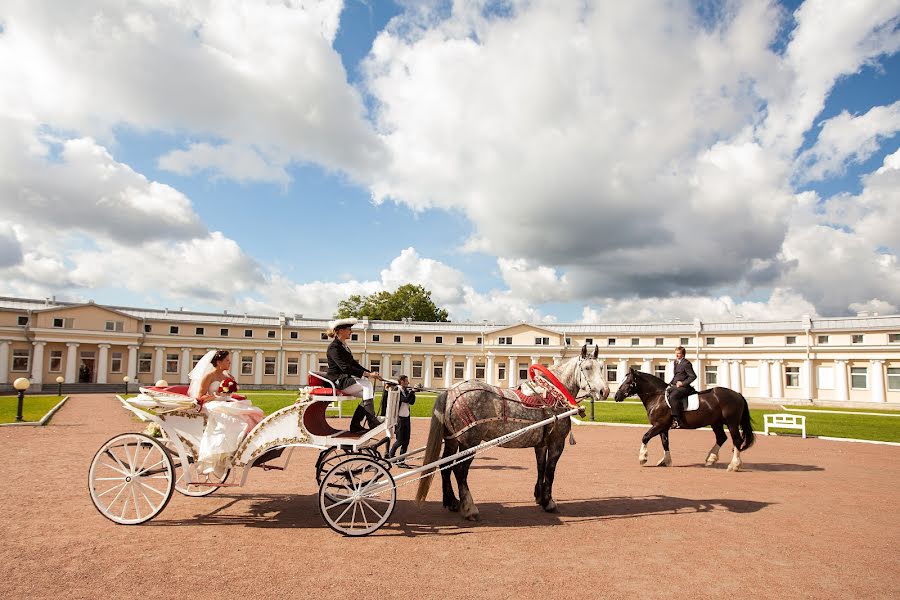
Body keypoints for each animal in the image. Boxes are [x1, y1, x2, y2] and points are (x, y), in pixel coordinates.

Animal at [616, 368, 756, 472]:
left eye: (628, 382)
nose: (616, 396)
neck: (657, 398)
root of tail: (737, 394)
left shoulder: (659, 425)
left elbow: (645, 437)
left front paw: (643, 458)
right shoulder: (663, 427)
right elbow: (665, 443)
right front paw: (665, 461)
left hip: (732, 423)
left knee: (736, 440)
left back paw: (734, 465)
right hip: (716, 423)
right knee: (721, 438)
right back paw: (710, 459)